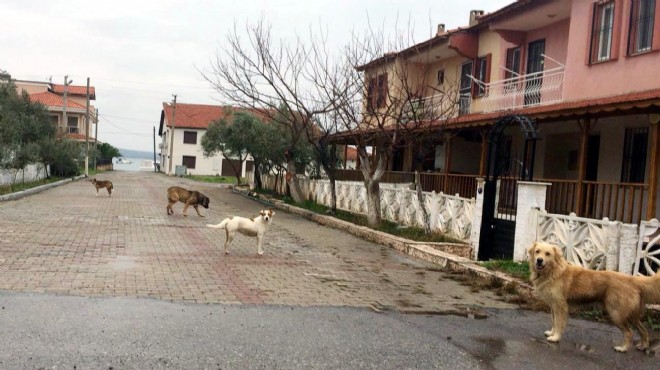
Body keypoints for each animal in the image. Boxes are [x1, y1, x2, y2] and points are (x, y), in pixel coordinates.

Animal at [528, 241, 660, 352]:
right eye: (537, 251)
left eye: (548, 254)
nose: (539, 260)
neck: (553, 271)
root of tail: (633, 279)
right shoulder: (553, 306)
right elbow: (554, 322)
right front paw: (552, 333)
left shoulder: (560, 306)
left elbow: (559, 323)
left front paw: (555, 338)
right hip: (631, 315)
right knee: (643, 330)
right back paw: (643, 346)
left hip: (616, 314)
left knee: (629, 333)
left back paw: (623, 348)